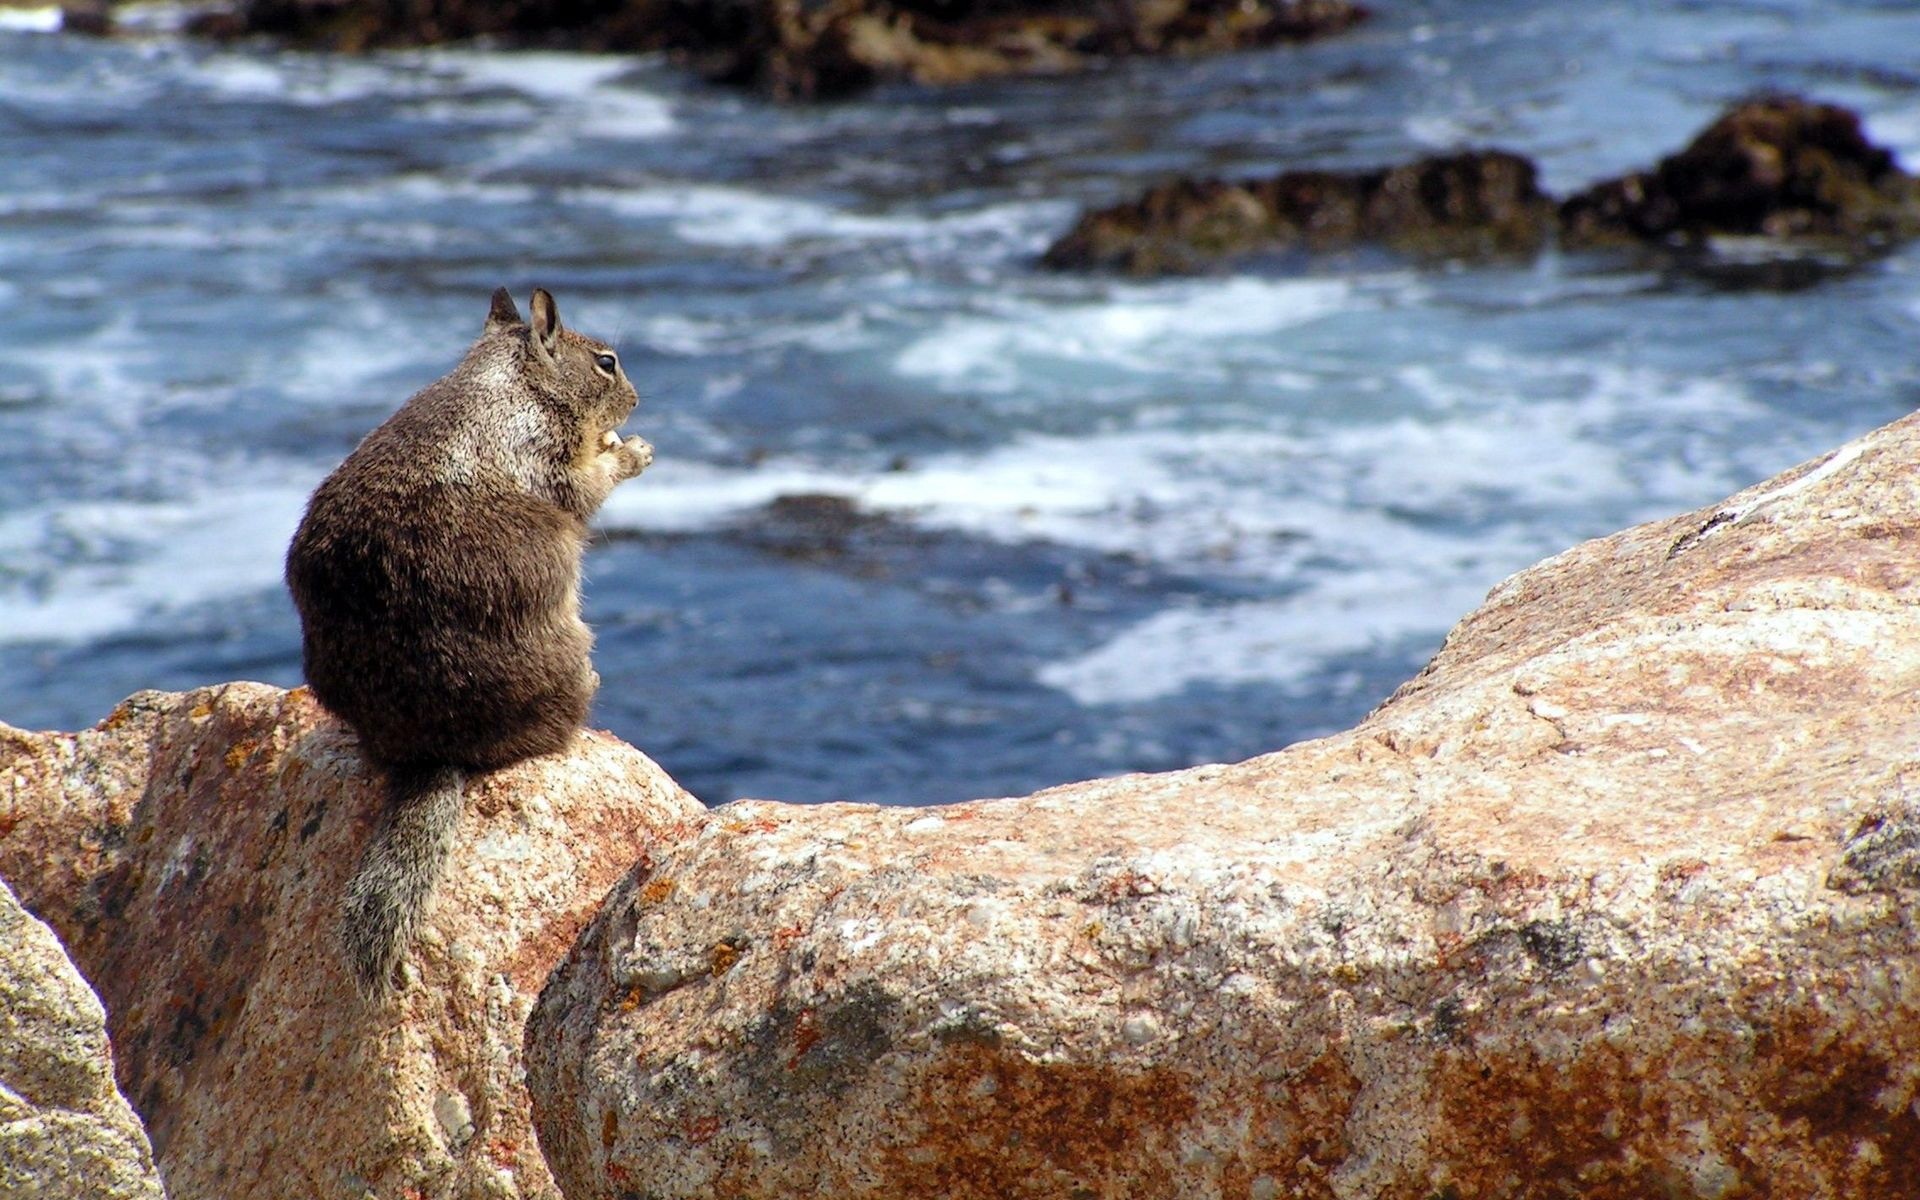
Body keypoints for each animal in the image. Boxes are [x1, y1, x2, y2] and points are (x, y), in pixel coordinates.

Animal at [280, 286, 648, 998]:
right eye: (607, 362)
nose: (638, 399)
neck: (511, 378)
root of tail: (431, 749)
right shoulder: (548, 452)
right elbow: (585, 486)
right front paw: (632, 450)